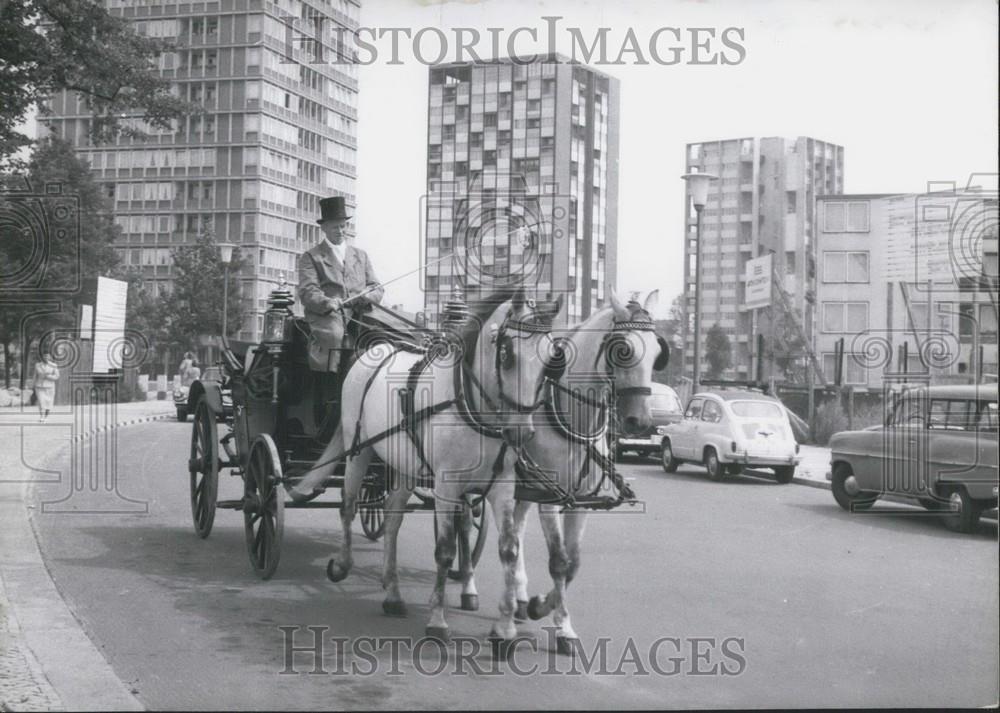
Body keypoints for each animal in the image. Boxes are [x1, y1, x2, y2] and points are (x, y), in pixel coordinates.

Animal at [322, 286, 564, 644]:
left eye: (551, 359)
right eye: (507, 354)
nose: (522, 433)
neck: (470, 405)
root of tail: (375, 350)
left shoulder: (502, 487)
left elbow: (508, 548)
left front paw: (505, 628)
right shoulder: (447, 486)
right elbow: (446, 549)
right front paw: (437, 620)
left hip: (406, 467)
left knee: (392, 519)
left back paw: (392, 593)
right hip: (358, 452)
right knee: (349, 506)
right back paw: (342, 564)